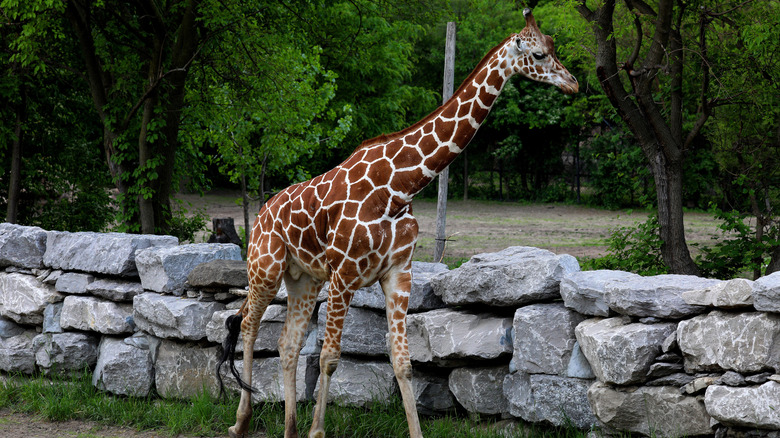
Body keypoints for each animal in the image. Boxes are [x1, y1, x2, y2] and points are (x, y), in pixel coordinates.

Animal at [217, 8, 577, 438]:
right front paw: (317, 431)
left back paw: (289, 428)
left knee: (287, 344)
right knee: (248, 324)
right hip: (266, 268)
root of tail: (262, 213)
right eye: (539, 54)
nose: (573, 84)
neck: (399, 186)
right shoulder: (345, 275)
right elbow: (329, 357)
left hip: (303, 278)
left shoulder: (397, 273)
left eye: (554, 48)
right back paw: (240, 421)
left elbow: (403, 362)